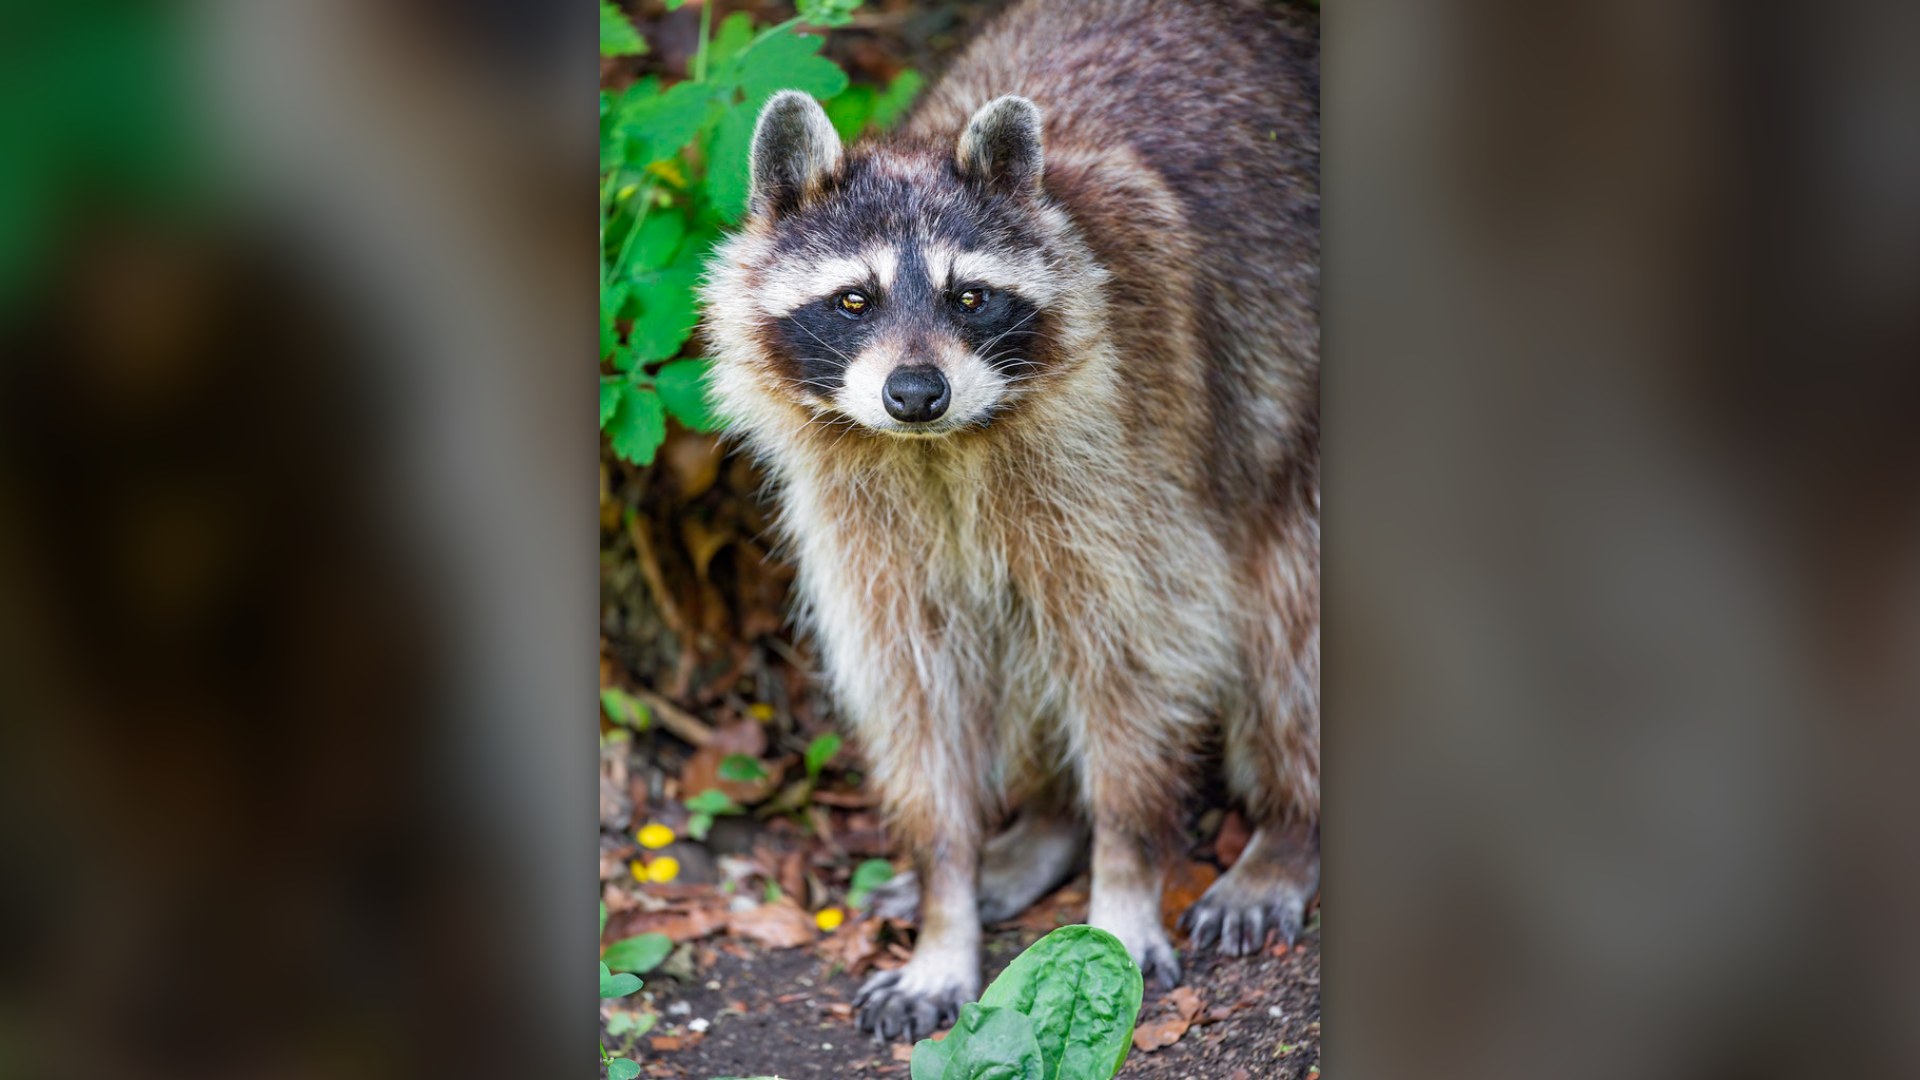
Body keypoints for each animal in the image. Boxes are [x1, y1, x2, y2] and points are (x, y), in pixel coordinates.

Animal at [700, 0, 1318, 1042]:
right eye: (853, 299)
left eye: (971, 297)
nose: (915, 392)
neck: (941, 450)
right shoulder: (864, 526)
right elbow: (915, 700)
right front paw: (944, 901)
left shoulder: (1133, 464)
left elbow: (1142, 660)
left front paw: (1121, 879)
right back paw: (1039, 828)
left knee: (1288, 624)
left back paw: (1285, 827)